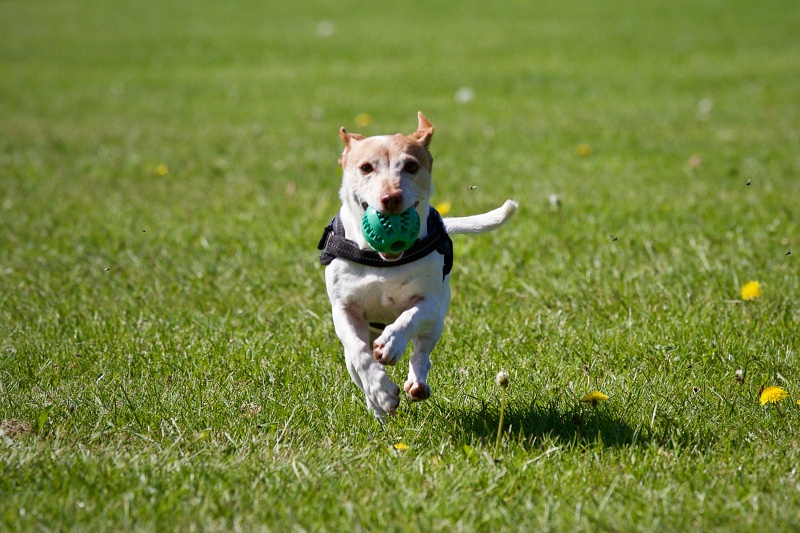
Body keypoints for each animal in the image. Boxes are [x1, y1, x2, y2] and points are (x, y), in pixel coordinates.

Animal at [318, 113, 520, 420]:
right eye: (366, 167)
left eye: (411, 166)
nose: (391, 198)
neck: (383, 262)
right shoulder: (344, 310)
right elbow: (360, 354)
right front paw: (381, 392)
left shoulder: (430, 303)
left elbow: (409, 318)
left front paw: (391, 343)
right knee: (356, 363)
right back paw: (377, 409)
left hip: (437, 321)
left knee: (422, 351)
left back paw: (416, 382)